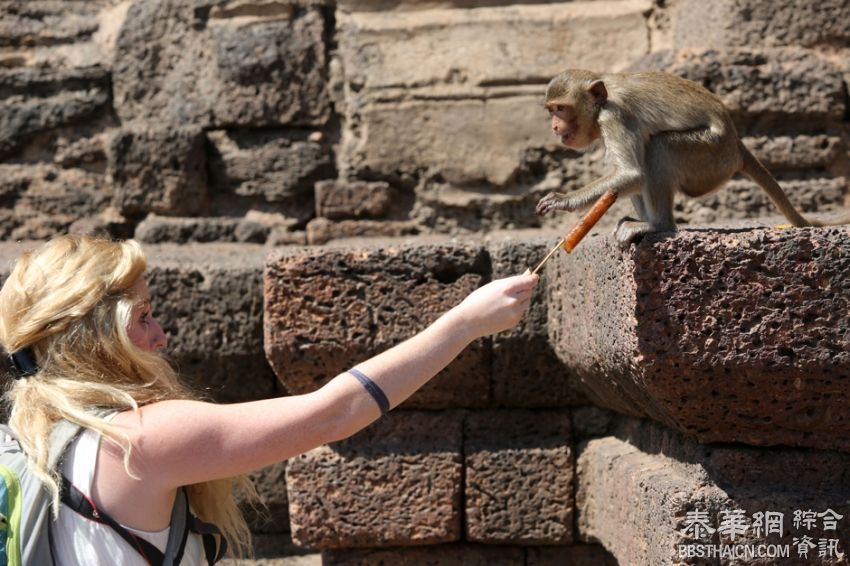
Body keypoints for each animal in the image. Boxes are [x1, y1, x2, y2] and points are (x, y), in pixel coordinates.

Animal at [532, 69, 844, 246]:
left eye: (561, 109)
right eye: (551, 110)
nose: (554, 127)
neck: (602, 102)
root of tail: (736, 144)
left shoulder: (615, 116)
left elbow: (632, 173)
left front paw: (562, 199)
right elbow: (627, 176)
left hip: (710, 156)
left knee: (657, 149)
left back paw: (657, 226)